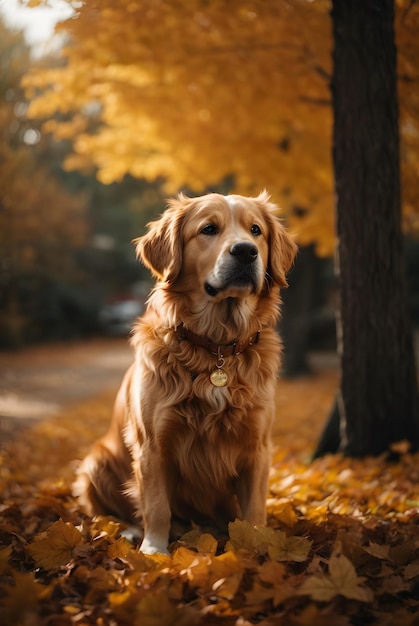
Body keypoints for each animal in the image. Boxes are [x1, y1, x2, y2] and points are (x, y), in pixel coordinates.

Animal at [74, 190, 296, 552]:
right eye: (208, 229)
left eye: (256, 230)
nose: (245, 251)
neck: (216, 348)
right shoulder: (153, 445)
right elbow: (156, 506)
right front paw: (154, 550)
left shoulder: (257, 445)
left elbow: (254, 509)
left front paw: (255, 547)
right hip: (95, 464)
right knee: (112, 513)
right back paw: (130, 531)